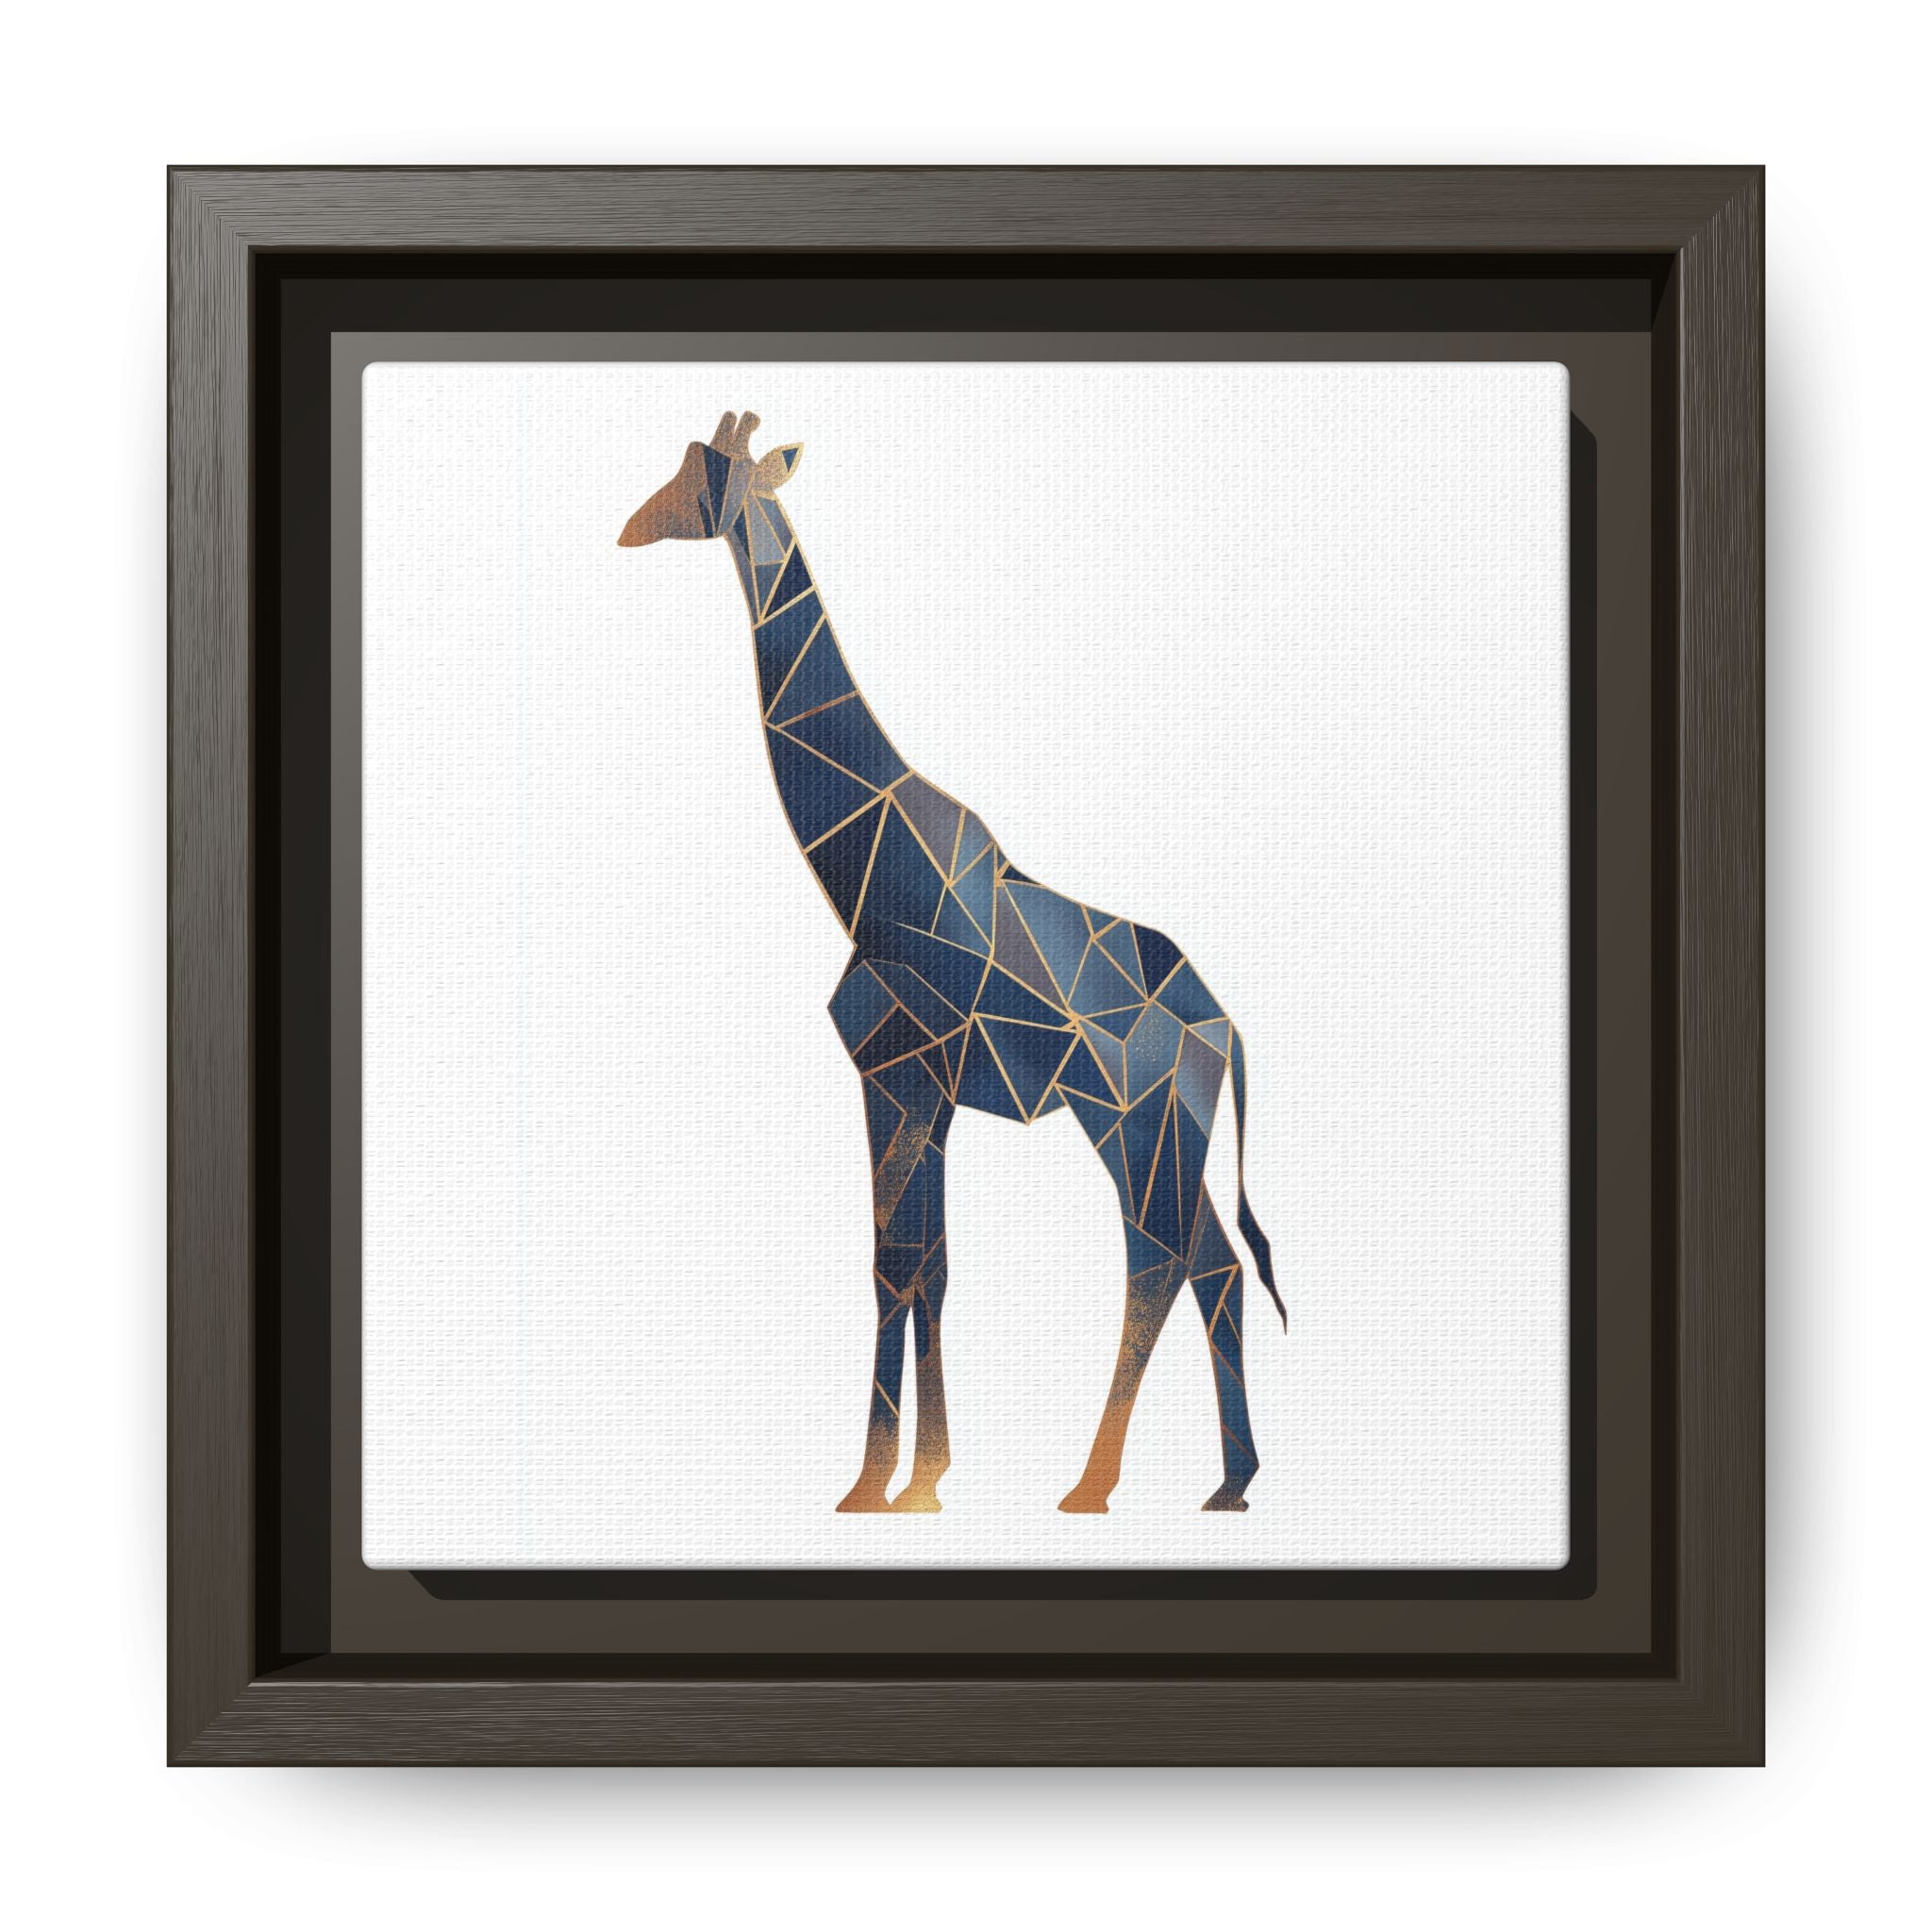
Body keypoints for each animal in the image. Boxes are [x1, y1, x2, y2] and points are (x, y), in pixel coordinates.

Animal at [620, 412, 1284, 1515]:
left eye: (702, 475)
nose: (632, 526)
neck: (864, 869)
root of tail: (1224, 1028)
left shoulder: (905, 1073)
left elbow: (904, 1265)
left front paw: (895, 1483)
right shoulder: (910, 1087)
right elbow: (915, 1265)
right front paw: (899, 1479)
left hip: (1131, 1119)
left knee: (1159, 1261)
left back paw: (1093, 1485)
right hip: (1160, 1129)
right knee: (1211, 1265)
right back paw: (1228, 1482)